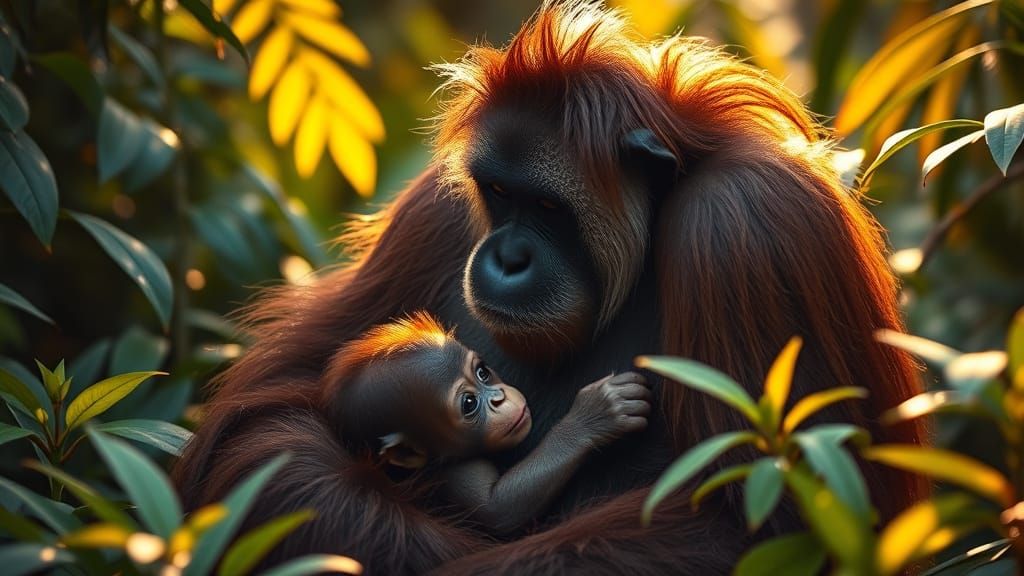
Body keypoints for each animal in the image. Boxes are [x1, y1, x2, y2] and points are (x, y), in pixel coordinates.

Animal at [321, 312, 651, 535]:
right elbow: (498, 508)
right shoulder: (456, 472)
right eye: (469, 404)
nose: (499, 398)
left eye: (482, 373)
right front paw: (592, 416)